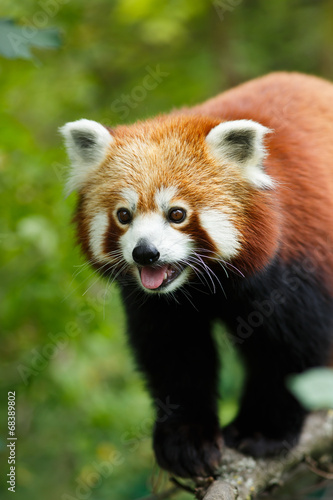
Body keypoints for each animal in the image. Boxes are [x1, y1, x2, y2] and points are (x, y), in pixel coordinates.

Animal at [60, 72, 332, 478]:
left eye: (177, 214)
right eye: (124, 215)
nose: (145, 253)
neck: (202, 284)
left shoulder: (294, 264)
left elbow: (291, 352)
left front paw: (261, 432)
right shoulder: (157, 303)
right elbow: (175, 356)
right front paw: (186, 441)